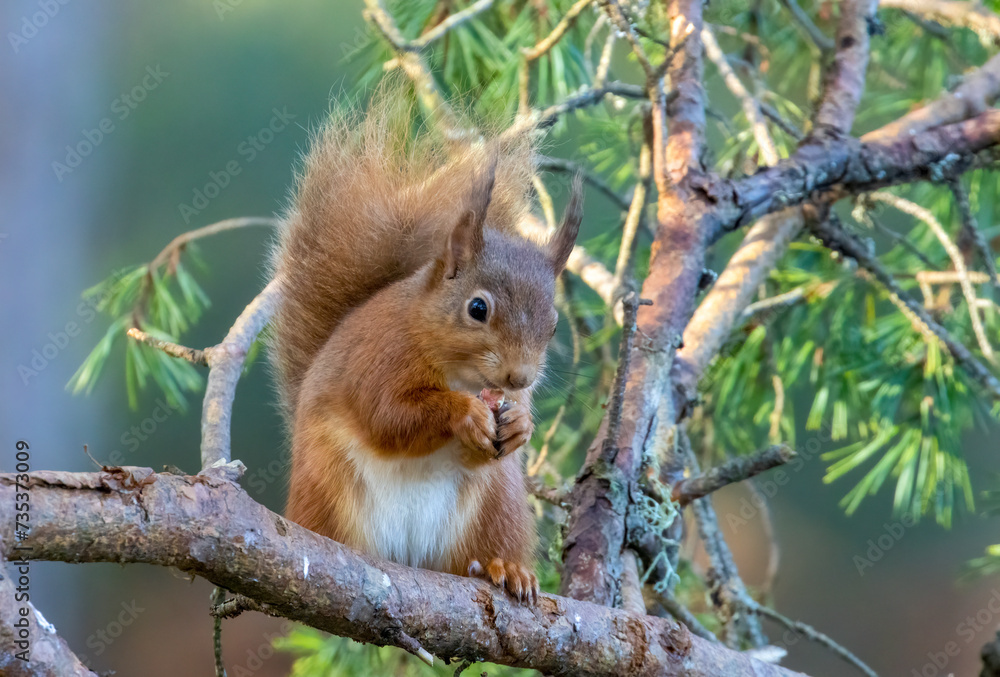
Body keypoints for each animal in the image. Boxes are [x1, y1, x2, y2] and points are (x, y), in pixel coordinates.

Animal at [268, 93, 582, 602]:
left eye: (554, 327)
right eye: (477, 308)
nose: (519, 377)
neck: (460, 373)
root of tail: (409, 557)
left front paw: (520, 424)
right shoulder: (379, 360)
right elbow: (389, 417)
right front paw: (464, 415)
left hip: (497, 504)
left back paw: (506, 568)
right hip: (328, 485)